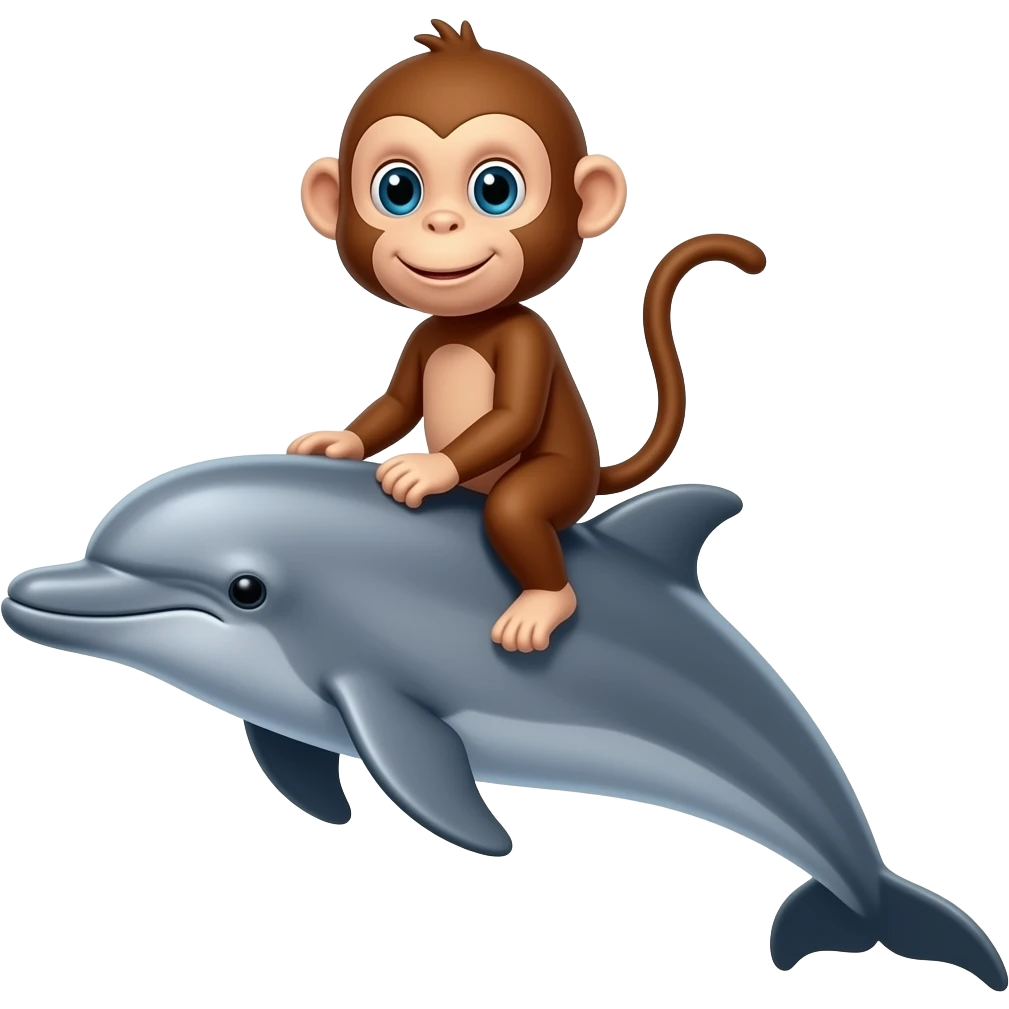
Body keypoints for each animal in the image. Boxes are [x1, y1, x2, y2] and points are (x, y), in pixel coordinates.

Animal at [292, 18, 767, 654]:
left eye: (495, 189)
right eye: (398, 189)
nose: (442, 223)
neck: (470, 321)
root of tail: (595, 477)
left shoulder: (526, 338)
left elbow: (512, 415)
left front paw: (426, 470)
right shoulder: (423, 340)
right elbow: (395, 404)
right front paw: (336, 443)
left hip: (560, 482)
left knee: (514, 511)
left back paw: (542, 606)